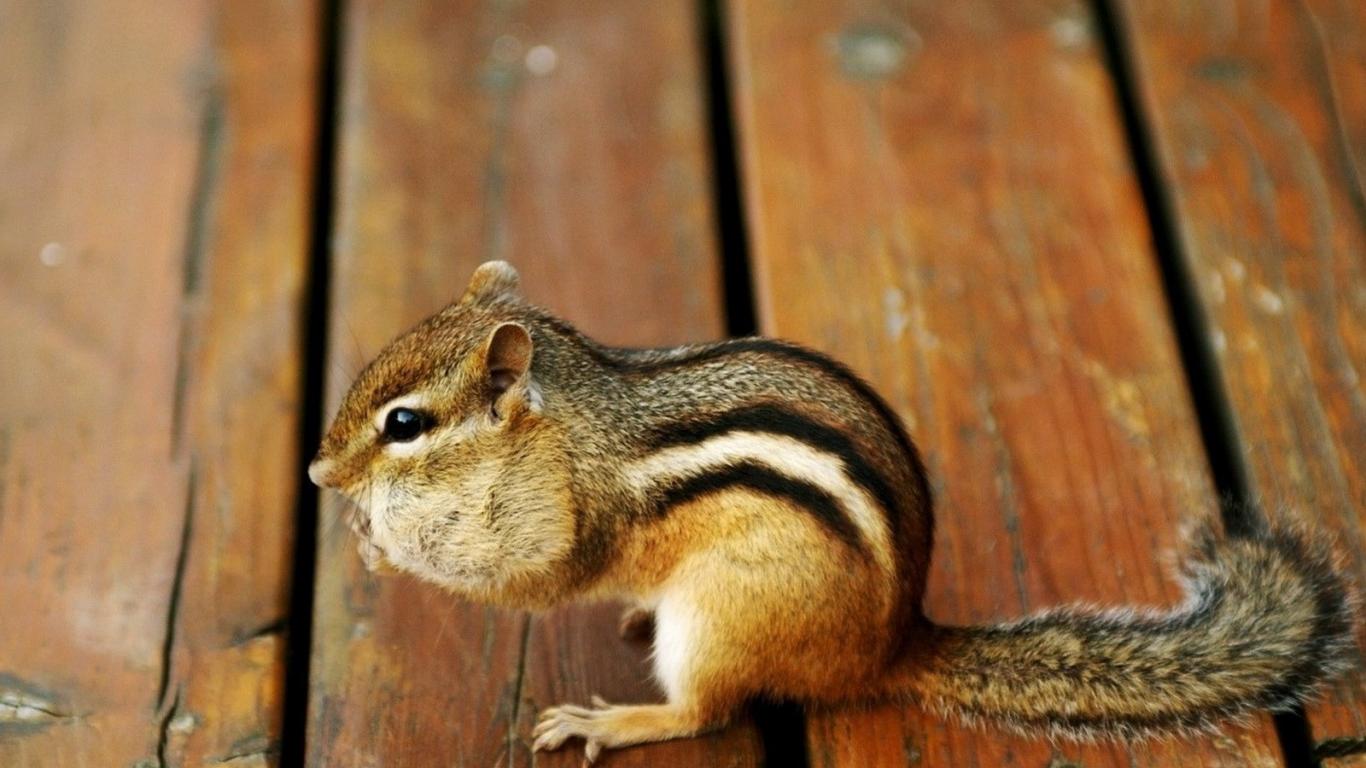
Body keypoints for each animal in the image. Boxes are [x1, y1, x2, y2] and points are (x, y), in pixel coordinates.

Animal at [310, 260, 1358, 763]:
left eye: (404, 424)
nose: (319, 473)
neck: (565, 413)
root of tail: (889, 646)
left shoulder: (570, 518)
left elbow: (528, 580)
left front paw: (381, 542)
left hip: (721, 617)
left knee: (703, 712)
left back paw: (618, 721)